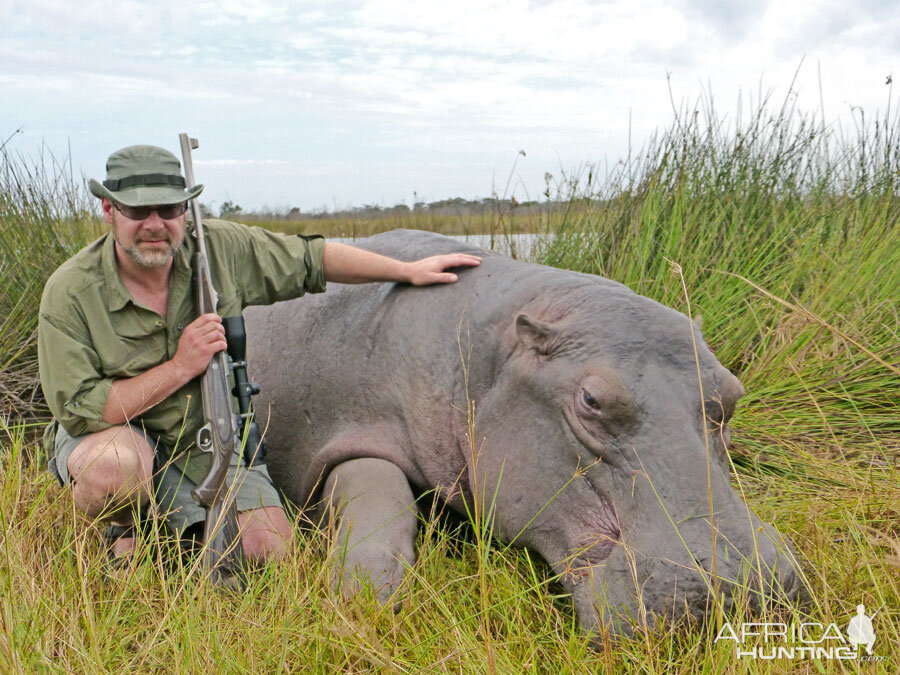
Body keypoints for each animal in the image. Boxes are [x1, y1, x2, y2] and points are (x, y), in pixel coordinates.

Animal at [243, 230, 804, 636]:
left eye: (732, 392)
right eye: (591, 400)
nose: (744, 583)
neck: (487, 354)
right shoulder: (340, 429)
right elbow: (378, 488)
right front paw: (363, 595)